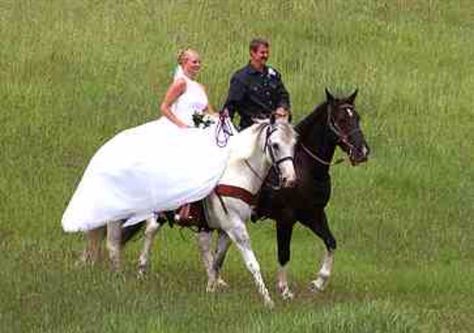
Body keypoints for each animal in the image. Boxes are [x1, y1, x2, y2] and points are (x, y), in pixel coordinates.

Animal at [81, 118, 296, 308]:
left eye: (294, 145)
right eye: (275, 145)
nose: (290, 180)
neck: (236, 173)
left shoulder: (224, 231)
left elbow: (216, 262)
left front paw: (211, 289)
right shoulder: (235, 228)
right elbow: (251, 263)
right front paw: (268, 300)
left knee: (147, 232)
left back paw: (140, 271)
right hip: (117, 214)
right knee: (113, 244)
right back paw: (119, 278)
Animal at [204, 88, 370, 298]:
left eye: (357, 117)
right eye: (340, 119)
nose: (362, 151)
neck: (305, 167)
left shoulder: (313, 214)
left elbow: (331, 242)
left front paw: (319, 282)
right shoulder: (286, 218)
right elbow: (284, 253)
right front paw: (284, 290)